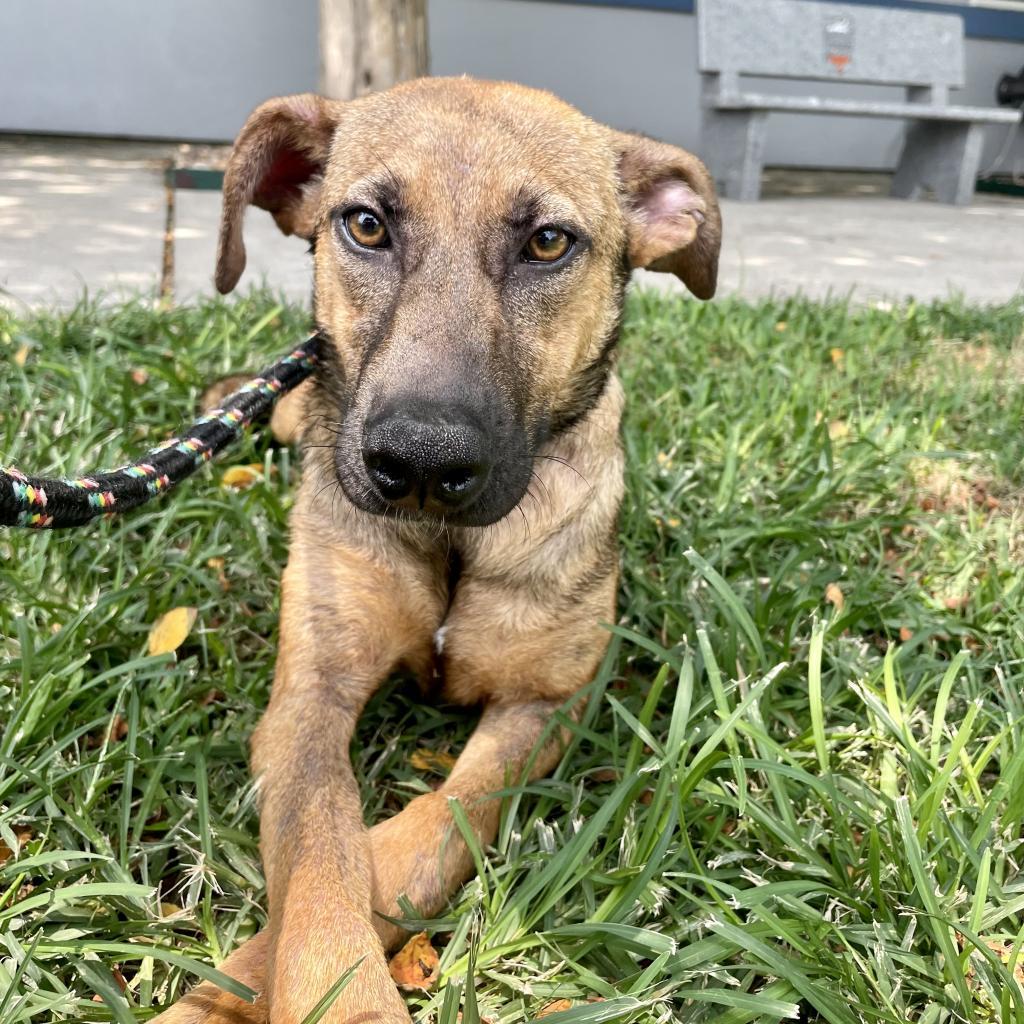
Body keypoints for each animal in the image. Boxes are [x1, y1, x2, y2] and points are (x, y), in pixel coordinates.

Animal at [157, 77, 720, 1024]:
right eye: (366, 225)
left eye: (548, 242)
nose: (419, 462)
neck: (453, 543)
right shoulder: (308, 699)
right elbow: (323, 859)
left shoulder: (547, 702)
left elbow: (423, 833)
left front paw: (241, 987)